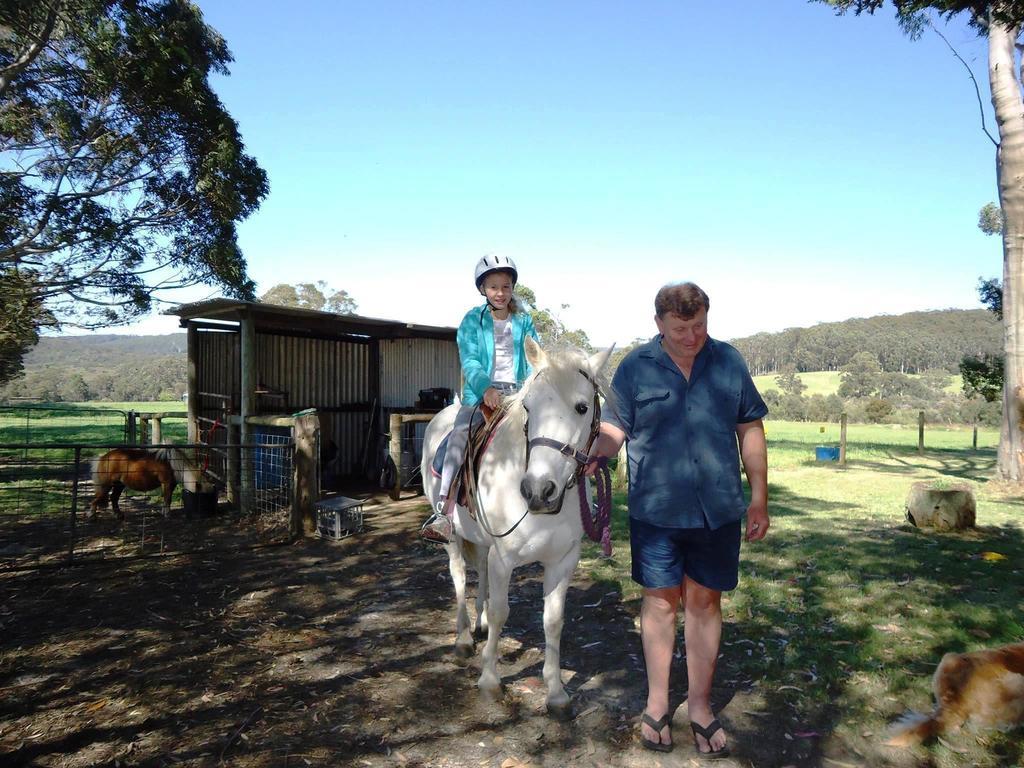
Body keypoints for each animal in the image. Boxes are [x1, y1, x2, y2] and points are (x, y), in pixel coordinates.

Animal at [419, 339, 610, 720]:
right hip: (452, 537)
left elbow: (553, 620)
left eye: (582, 407)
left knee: (478, 571)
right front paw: (490, 680)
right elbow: (501, 611)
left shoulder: (562, 562)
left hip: (482, 542)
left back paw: (477, 625)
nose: (538, 490)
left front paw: (556, 693)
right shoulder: (504, 558)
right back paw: (464, 638)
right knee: (459, 576)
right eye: (528, 406)